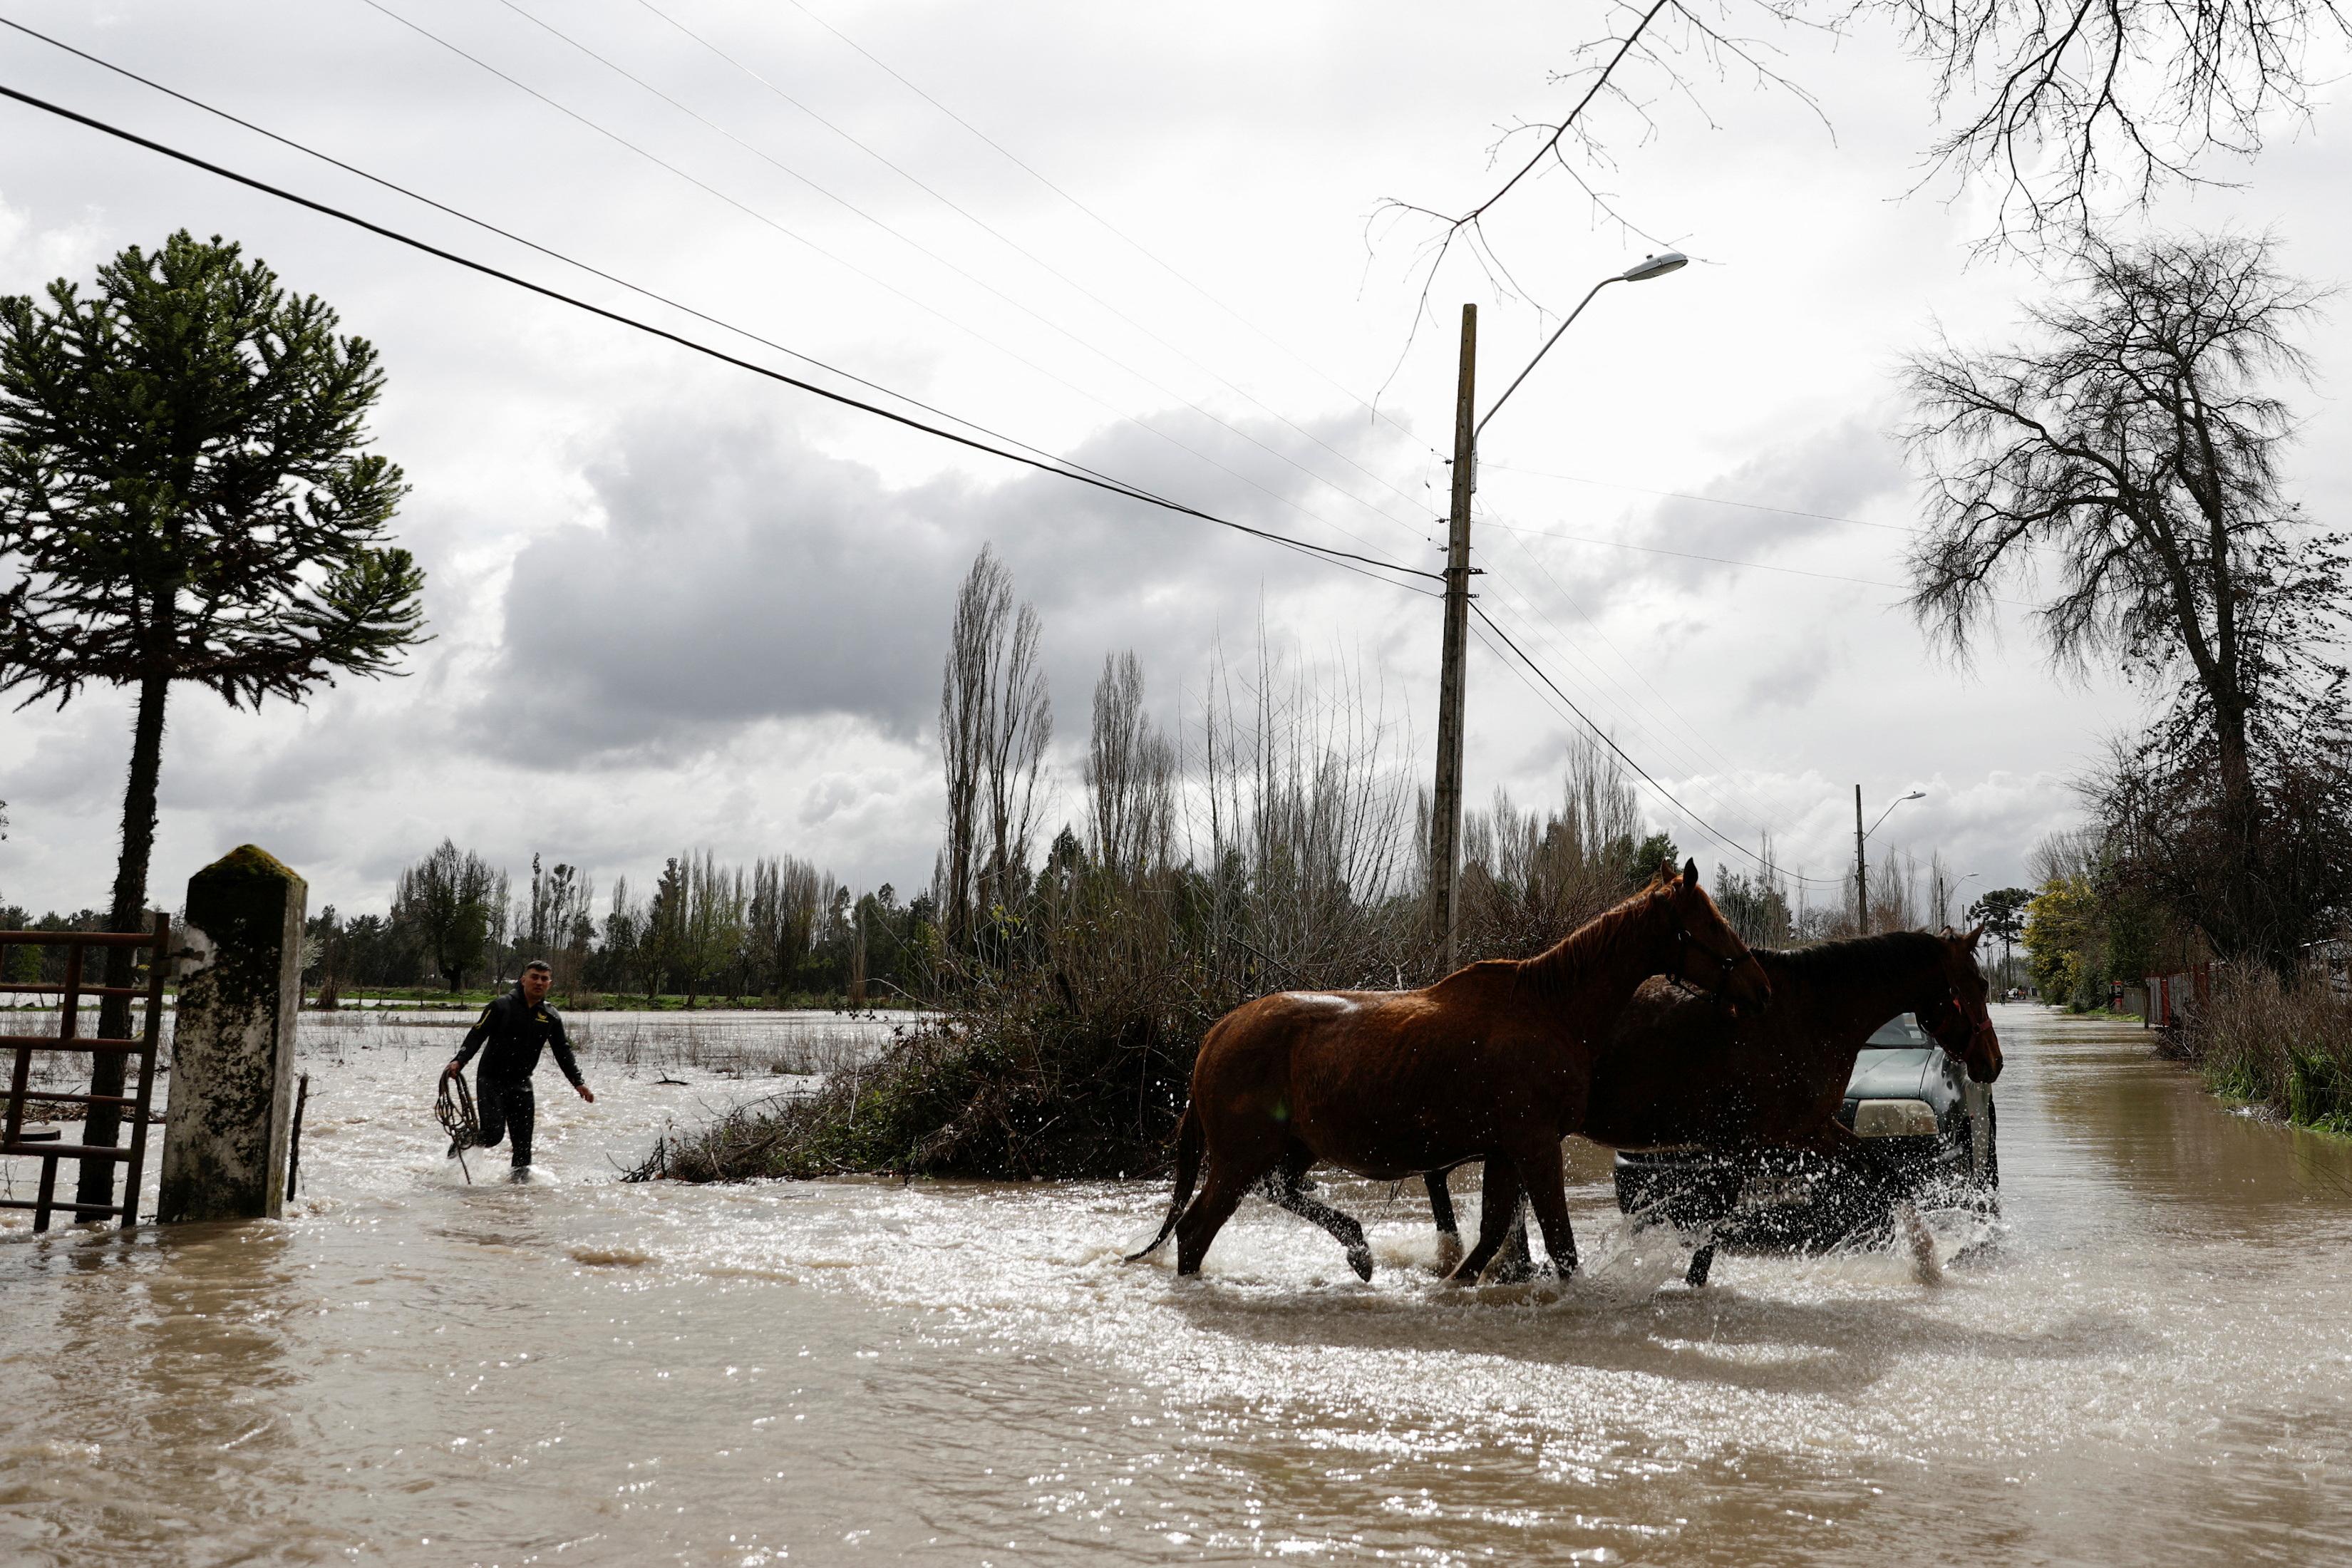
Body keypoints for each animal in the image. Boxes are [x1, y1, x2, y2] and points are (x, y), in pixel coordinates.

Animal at [1129, 860, 1768, 1288]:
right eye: (1711, 924)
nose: (1760, 989)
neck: (1551, 1010)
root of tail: (1216, 1035)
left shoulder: (1507, 1151)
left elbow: (1490, 1236)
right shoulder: (1537, 1146)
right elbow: (1559, 1245)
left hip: (1290, 1149)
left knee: (1279, 1192)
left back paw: (1359, 1250)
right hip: (1241, 1157)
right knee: (1196, 1231)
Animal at [1411, 931, 2003, 1279]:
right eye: (1978, 981)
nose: (1992, 1062)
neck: (1807, 1011)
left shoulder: (1806, 1131)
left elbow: (1886, 1173)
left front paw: (1927, 1261)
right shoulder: (1745, 1141)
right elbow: (1717, 1218)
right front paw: (1692, 1279)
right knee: (1442, 1177)